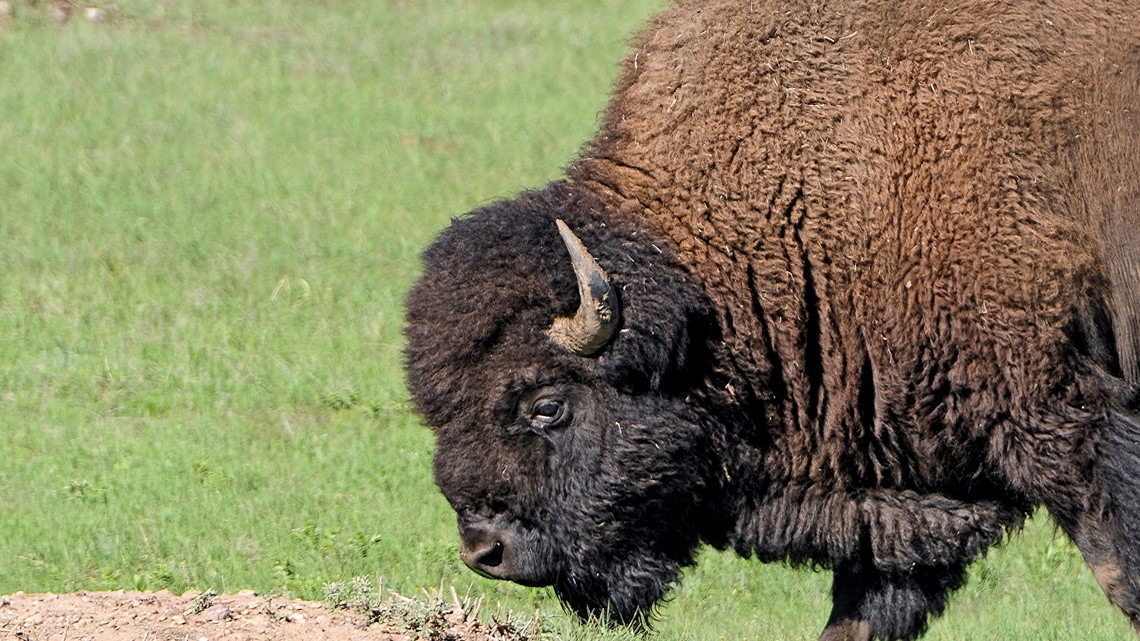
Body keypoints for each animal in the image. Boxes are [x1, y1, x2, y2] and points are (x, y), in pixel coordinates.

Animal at [403, 0, 1140, 638]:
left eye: (548, 406)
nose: (485, 551)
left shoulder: (1070, 417)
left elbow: (1119, 570)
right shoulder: (906, 484)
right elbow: (868, 606)